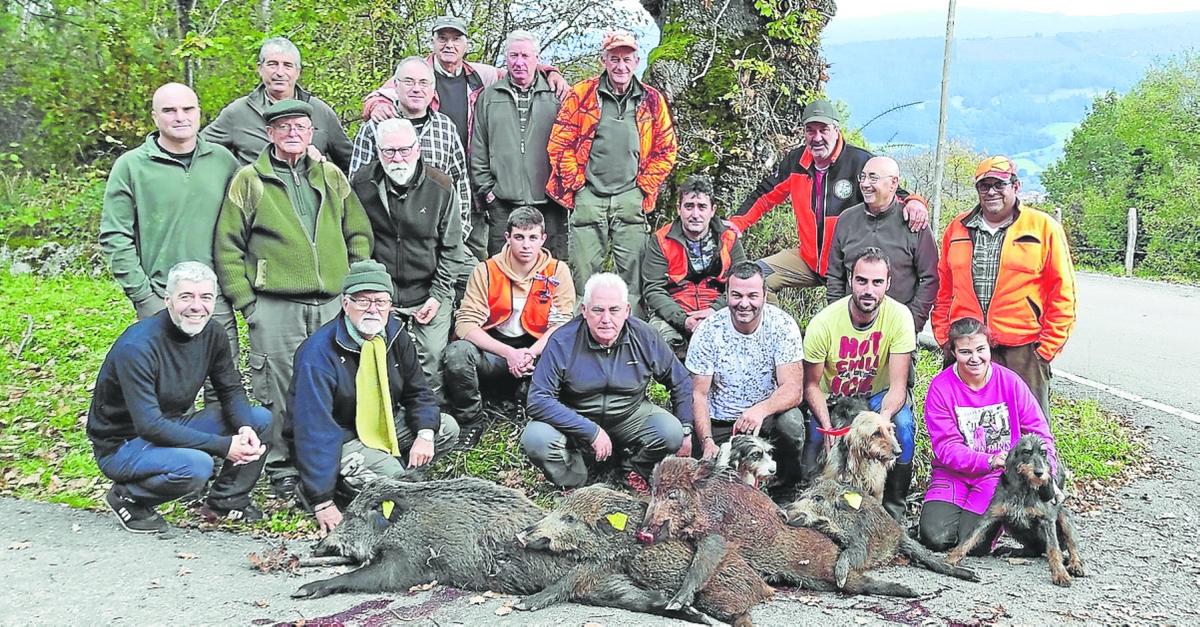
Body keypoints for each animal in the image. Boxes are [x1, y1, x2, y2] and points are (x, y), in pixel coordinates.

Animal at [643, 454, 912, 595]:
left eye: (673, 494)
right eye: (654, 491)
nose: (642, 532)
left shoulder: (716, 533)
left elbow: (703, 563)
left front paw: (676, 603)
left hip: (821, 566)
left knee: (855, 581)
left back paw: (909, 591)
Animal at [787, 478, 974, 586]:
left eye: (818, 498)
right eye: (801, 496)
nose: (786, 509)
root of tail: (900, 532)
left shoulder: (860, 543)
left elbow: (850, 554)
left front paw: (840, 581)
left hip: (908, 544)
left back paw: (973, 576)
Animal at [945, 434, 1089, 586]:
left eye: (1044, 453)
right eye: (1027, 452)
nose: (1039, 473)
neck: (1024, 489)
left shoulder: (1047, 520)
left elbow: (1054, 549)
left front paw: (1060, 574)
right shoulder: (990, 516)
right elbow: (969, 538)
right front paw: (951, 559)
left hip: (1064, 517)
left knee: (1071, 547)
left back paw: (1075, 565)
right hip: (1012, 525)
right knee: (1034, 551)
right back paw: (1011, 551)